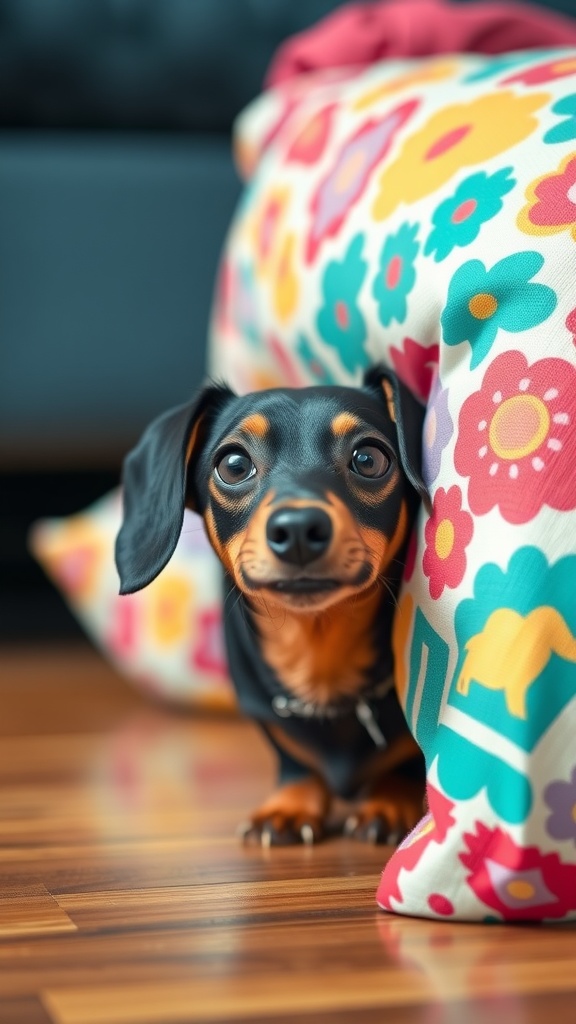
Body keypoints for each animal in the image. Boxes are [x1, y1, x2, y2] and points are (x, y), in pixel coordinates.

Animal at [115, 368, 426, 847]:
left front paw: (391, 800)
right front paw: (291, 803)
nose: (298, 529)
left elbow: (406, 761)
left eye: (369, 459)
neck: (318, 660)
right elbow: (292, 759)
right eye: (234, 465)